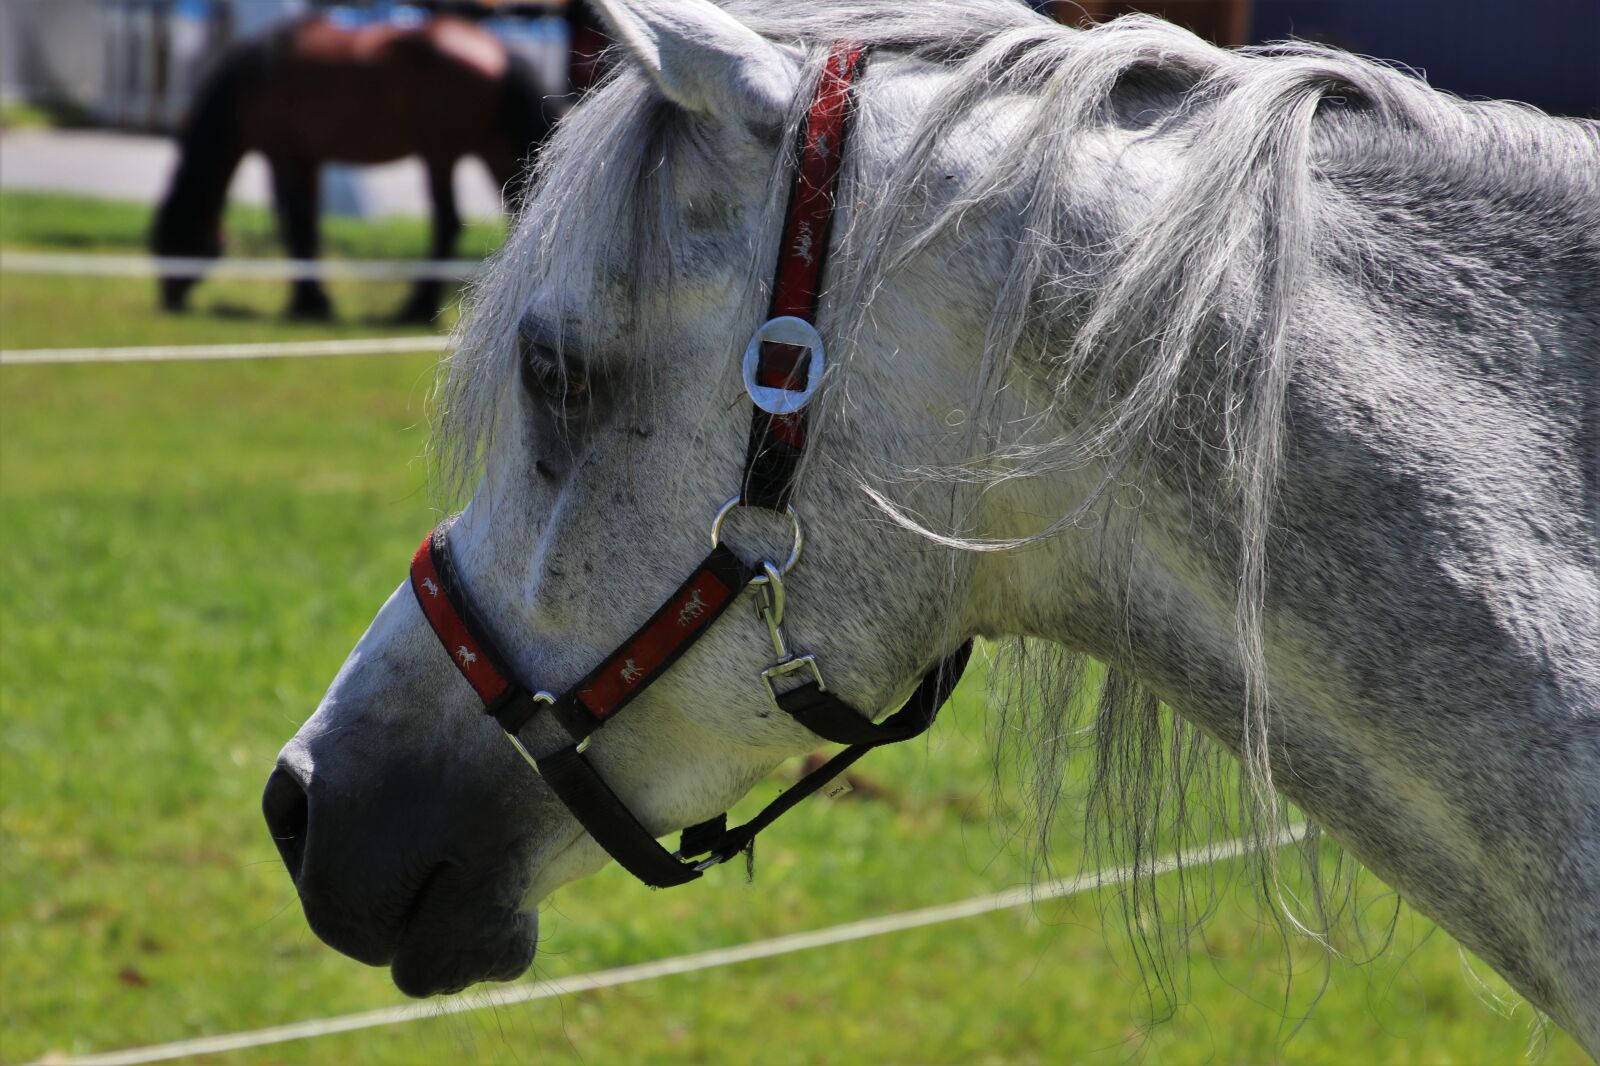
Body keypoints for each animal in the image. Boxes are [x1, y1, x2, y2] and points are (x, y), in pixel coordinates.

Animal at [150, 13, 562, 322]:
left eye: (171, 237)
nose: (168, 297)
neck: (257, 74)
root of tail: (497, 51)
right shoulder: (309, 160)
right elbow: (308, 227)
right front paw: (313, 299)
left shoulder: (282, 155)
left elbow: (294, 224)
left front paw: (309, 303)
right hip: (492, 150)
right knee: (519, 211)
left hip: (441, 155)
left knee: (448, 221)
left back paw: (416, 308)